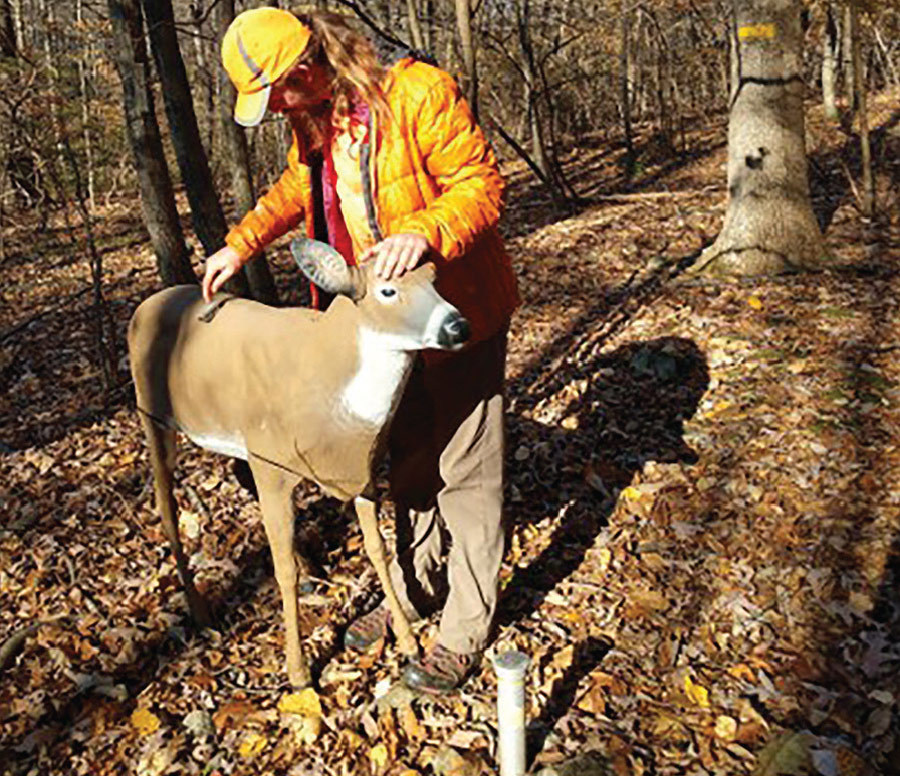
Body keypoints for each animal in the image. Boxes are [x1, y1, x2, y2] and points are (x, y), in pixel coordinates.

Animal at [127, 237, 470, 688]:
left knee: (236, 476)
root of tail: (142, 308)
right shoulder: (272, 465)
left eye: (433, 276)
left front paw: (410, 642)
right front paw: (298, 672)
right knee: (166, 507)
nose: (458, 327)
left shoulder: (359, 472)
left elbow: (377, 548)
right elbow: (281, 570)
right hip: (153, 415)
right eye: (388, 290)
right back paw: (201, 613)